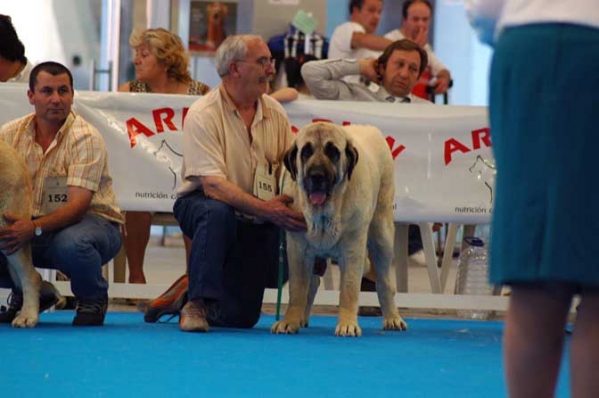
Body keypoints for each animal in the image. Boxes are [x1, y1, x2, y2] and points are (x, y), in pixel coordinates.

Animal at [272, 123, 408, 338]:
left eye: (333, 152)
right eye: (306, 152)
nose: (317, 175)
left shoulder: (353, 250)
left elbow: (349, 290)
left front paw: (347, 324)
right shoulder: (297, 250)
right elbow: (297, 289)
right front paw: (289, 321)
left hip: (382, 234)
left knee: (385, 282)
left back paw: (392, 318)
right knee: (312, 284)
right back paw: (302, 317)